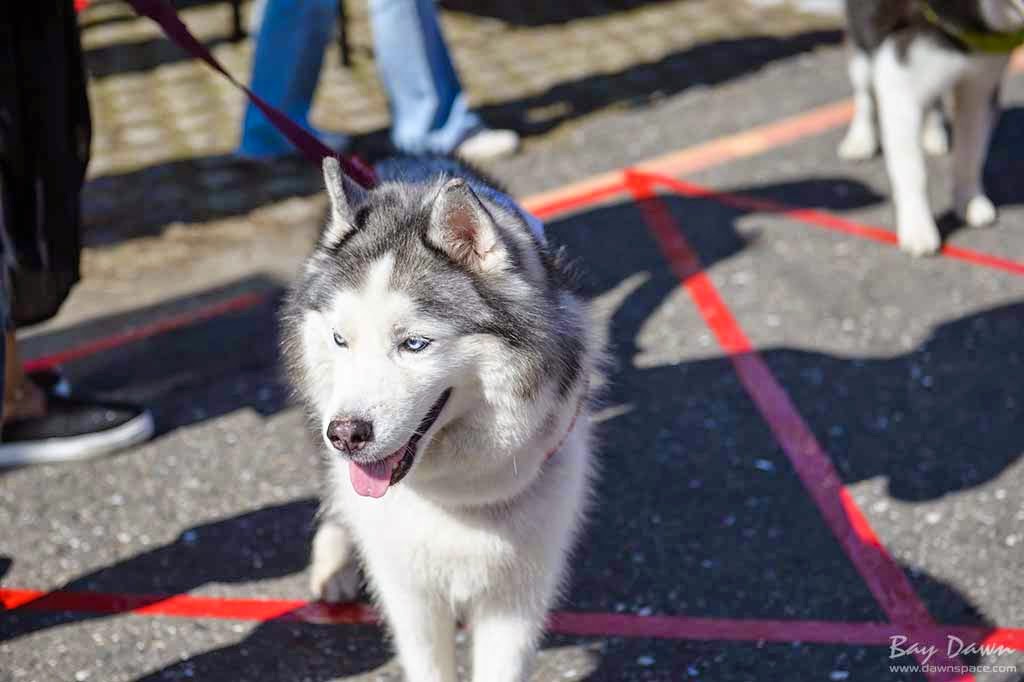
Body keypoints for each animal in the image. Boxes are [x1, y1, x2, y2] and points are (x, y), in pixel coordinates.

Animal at [280, 155, 598, 679]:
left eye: (414, 343)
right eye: (341, 339)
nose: (346, 435)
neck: (458, 497)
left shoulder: (518, 595)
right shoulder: (409, 593)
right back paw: (333, 564)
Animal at [839, 0, 1024, 254]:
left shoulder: (981, 81)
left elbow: (969, 155)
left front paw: (969, 202)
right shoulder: (899, 72)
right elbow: (913, 169)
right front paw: (918, 227)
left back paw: (933, 134)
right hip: (863, 39)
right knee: (864, 88)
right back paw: (860, 140)